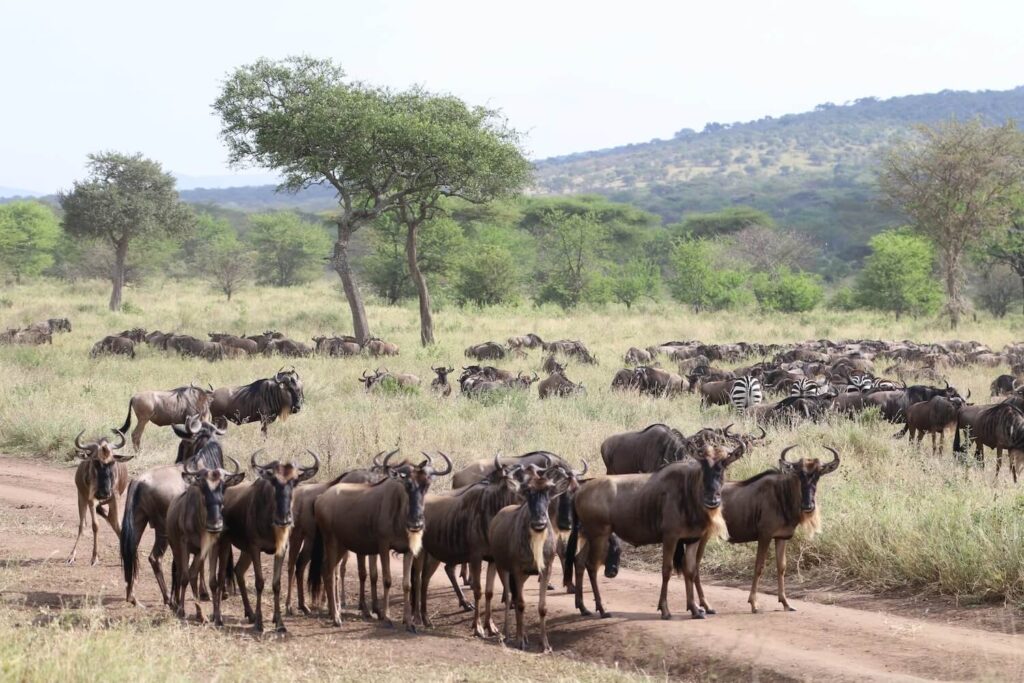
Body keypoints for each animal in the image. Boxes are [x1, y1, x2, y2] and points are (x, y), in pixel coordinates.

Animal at [67, 430, 132, 566]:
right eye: (96, 461)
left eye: (112, 462)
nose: (104, 493)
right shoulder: (92, 501)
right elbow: (95, 526)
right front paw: (94, 557)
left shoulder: (115, 499)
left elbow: (118, 525)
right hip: (81, 498)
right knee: (82, 525)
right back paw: (72, 555)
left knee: (112, 522)